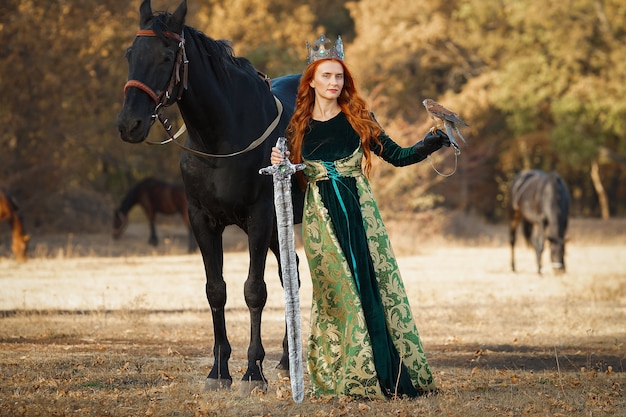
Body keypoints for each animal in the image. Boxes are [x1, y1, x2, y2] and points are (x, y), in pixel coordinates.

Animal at [117, 0, 304, 390]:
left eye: (166, 55)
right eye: (131, 53)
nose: (129, 124)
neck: (221, 139)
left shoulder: (259, 219)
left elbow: (254, 290)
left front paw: (252, 372)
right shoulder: (202, 220)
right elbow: (215, 289)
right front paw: (219, 371)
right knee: (291, 274)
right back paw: (284, 359)